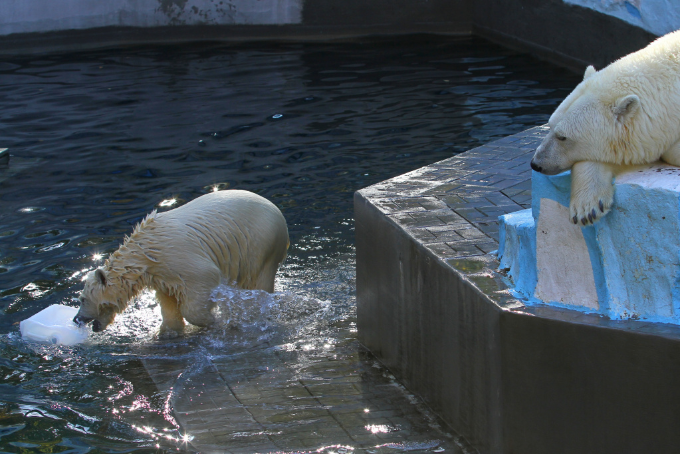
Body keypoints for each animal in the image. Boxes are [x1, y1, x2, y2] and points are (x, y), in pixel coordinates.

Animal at [72, 190, 290, 336]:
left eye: (82, 299)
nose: (76, 319)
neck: (144, 254)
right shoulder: (161, 276)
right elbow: (168, 302)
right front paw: (167, 330)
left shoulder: (178, 258)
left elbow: (203, 282)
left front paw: (211, 320)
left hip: (260, 243)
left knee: (258, 281)